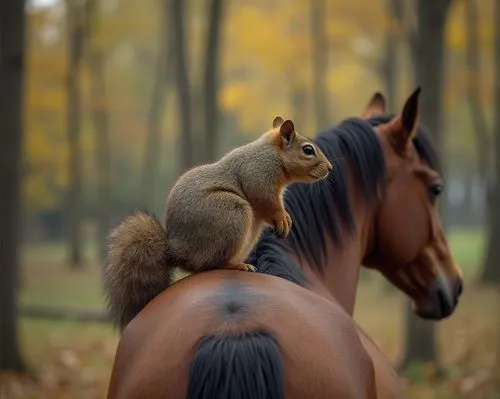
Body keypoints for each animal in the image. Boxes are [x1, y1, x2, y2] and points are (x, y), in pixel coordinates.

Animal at [102, 116, 332, 332]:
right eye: (308, 150)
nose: (330, 168)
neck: (273, 153)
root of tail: (179, 248)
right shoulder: (259, 175)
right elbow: (265, 202)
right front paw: (283, 219)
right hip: (231, 214)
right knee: (210, 263)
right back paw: (237, 265)